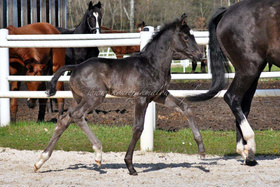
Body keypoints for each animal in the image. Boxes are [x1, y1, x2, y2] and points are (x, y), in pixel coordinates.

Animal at [34, 14, 206, 175]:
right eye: (186, 37)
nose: (200, 55)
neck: (152, 64)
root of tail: (75, 67)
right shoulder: (141, 98)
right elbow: (138, 128)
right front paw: (130, 166)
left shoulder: (159, 95)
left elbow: (186, 108)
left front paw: (201, 150)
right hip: (95, 97)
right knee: (77, 115)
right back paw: (98, 153)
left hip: (78, 98)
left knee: (64, 120)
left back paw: (40, 161)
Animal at [187, 0, 280, 166]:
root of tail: (227, 11)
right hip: (249, 69)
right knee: (232, 97)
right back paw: (250, 147)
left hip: (252, 71)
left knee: (242, 104)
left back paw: (246, 153)